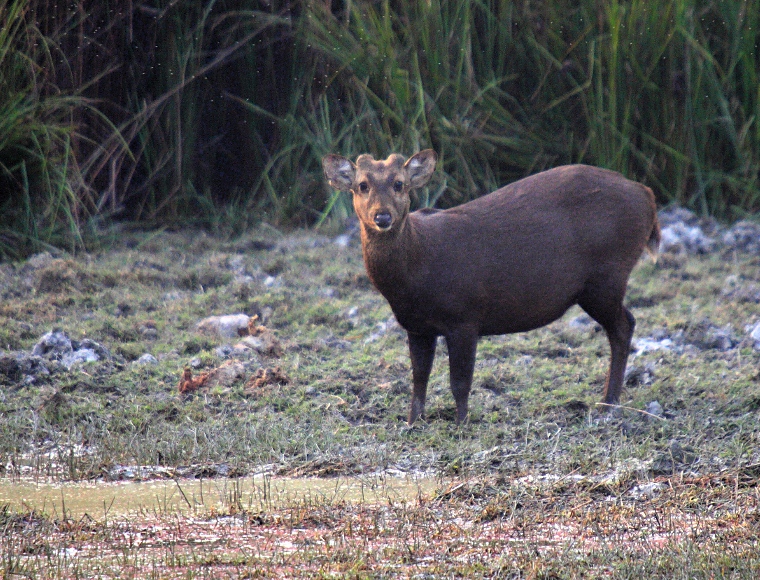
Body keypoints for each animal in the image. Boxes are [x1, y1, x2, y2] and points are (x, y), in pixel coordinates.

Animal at [323, 149, 660, 425]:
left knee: (623, 325)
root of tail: (647, 195)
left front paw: (461, 424)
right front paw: (412, 422)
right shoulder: (416, 326)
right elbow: (419, 378)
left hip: (607, 276)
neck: (416, 275)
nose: (382, 216)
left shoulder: (465, 315)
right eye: (362, 185)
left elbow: (460, 380)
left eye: (399, 184)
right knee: (625, 323)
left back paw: (608, 402)